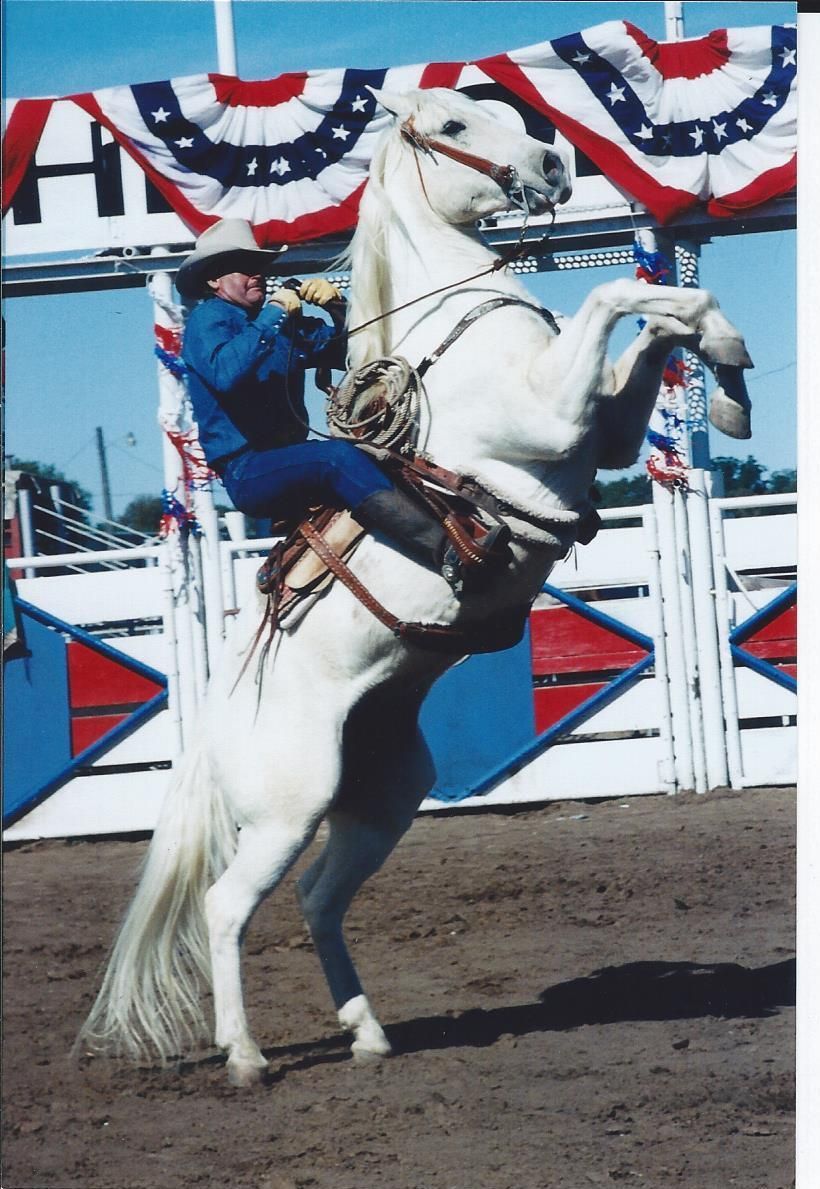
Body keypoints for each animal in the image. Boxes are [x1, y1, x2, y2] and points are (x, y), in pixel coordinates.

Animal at [77, 86, 752, 1087]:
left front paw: (731, 370)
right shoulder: (554, 418)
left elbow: (664, 319)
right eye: (457, 127)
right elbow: (615, 294)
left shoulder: (607, 429)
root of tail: (213, 721)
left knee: (318, 898)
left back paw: (367, 1031)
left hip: (381, 799)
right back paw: (245, 1054)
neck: (463, 330)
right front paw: (731, 355)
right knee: (228, 906)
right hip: (286, 811)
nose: (554, 164)